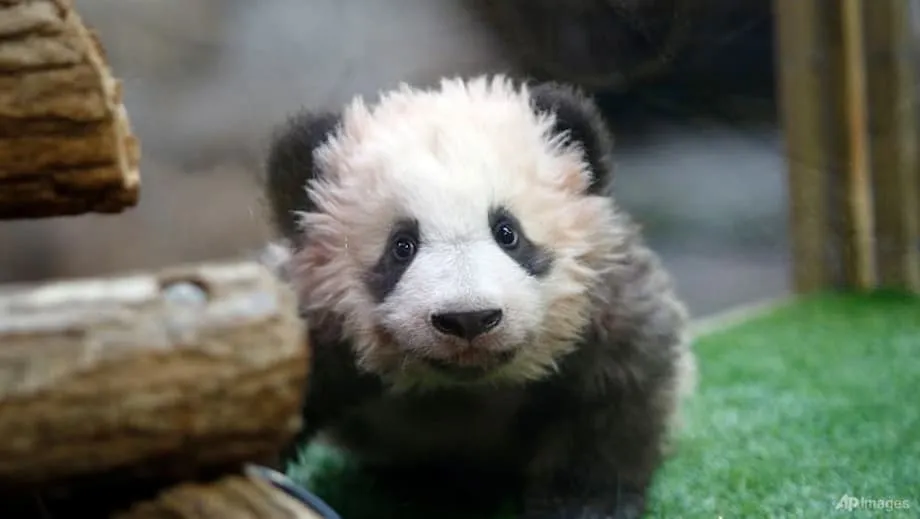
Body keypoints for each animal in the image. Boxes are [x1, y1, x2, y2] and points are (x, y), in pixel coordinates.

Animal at [263, 75, 696, 519]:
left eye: (508, 233)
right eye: (402, 246)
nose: (468, 319)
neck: (467, 386)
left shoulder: (603, 303)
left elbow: (614, 392)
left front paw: (584, 504)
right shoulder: (313, 323)